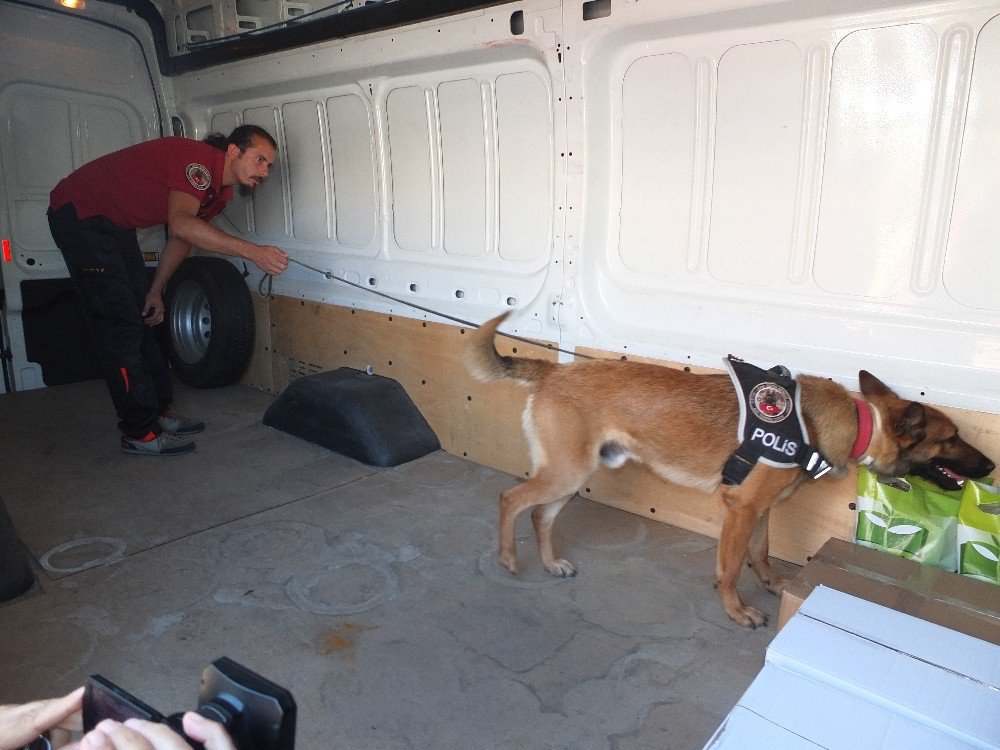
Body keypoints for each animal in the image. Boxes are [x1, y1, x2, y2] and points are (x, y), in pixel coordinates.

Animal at [464, 314, 996, 632]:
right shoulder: (740, 509)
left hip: (572, 476)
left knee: (541, 515)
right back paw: (509, 558)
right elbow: (732, 566)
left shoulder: (760, 509)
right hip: (566, 474)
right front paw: (736, 609)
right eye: (951, 439)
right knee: (511, 500)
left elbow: (760, 553)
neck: (856, 422)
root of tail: (555, 370)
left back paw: (551, 563)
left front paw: (771, 583)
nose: (992, 465)